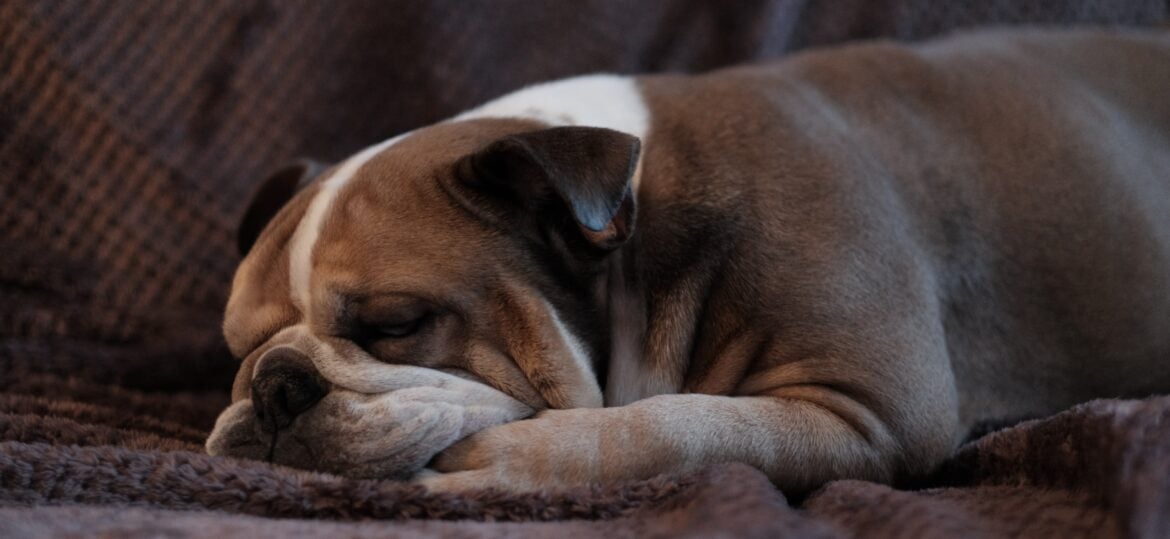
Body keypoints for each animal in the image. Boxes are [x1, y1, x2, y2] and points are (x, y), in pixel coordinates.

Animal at [205, 28, 1170, 491]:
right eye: (236, 349)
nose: (275, 381)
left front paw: (510, 460)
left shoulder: (871, 412)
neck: (639, 235)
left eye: (398, 324)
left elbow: (676, 426)